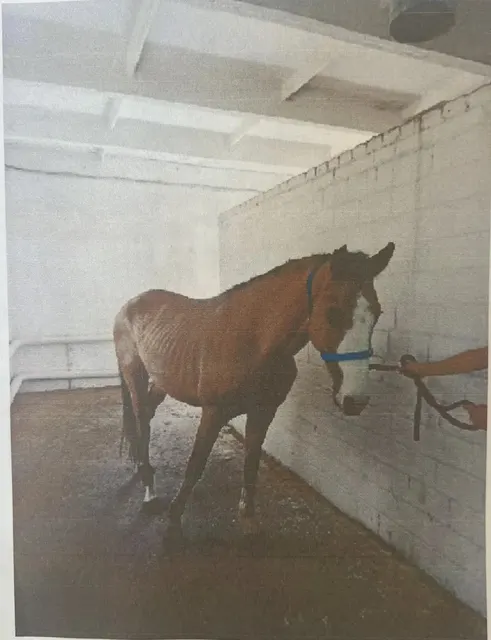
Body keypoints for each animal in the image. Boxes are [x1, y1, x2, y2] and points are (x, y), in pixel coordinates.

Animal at [113, 242, 395, 535]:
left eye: (377, 313)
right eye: (332, 313)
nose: (355, 399)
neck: (254, 342)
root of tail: (129, 306)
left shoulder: (263, 411)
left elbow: (251, 462)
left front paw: (248, 519)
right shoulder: (213, 412)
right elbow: (196, 464)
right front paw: (174, 518)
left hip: (161, 382)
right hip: (134, 375)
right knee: (141, 421)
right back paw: (149, 491)